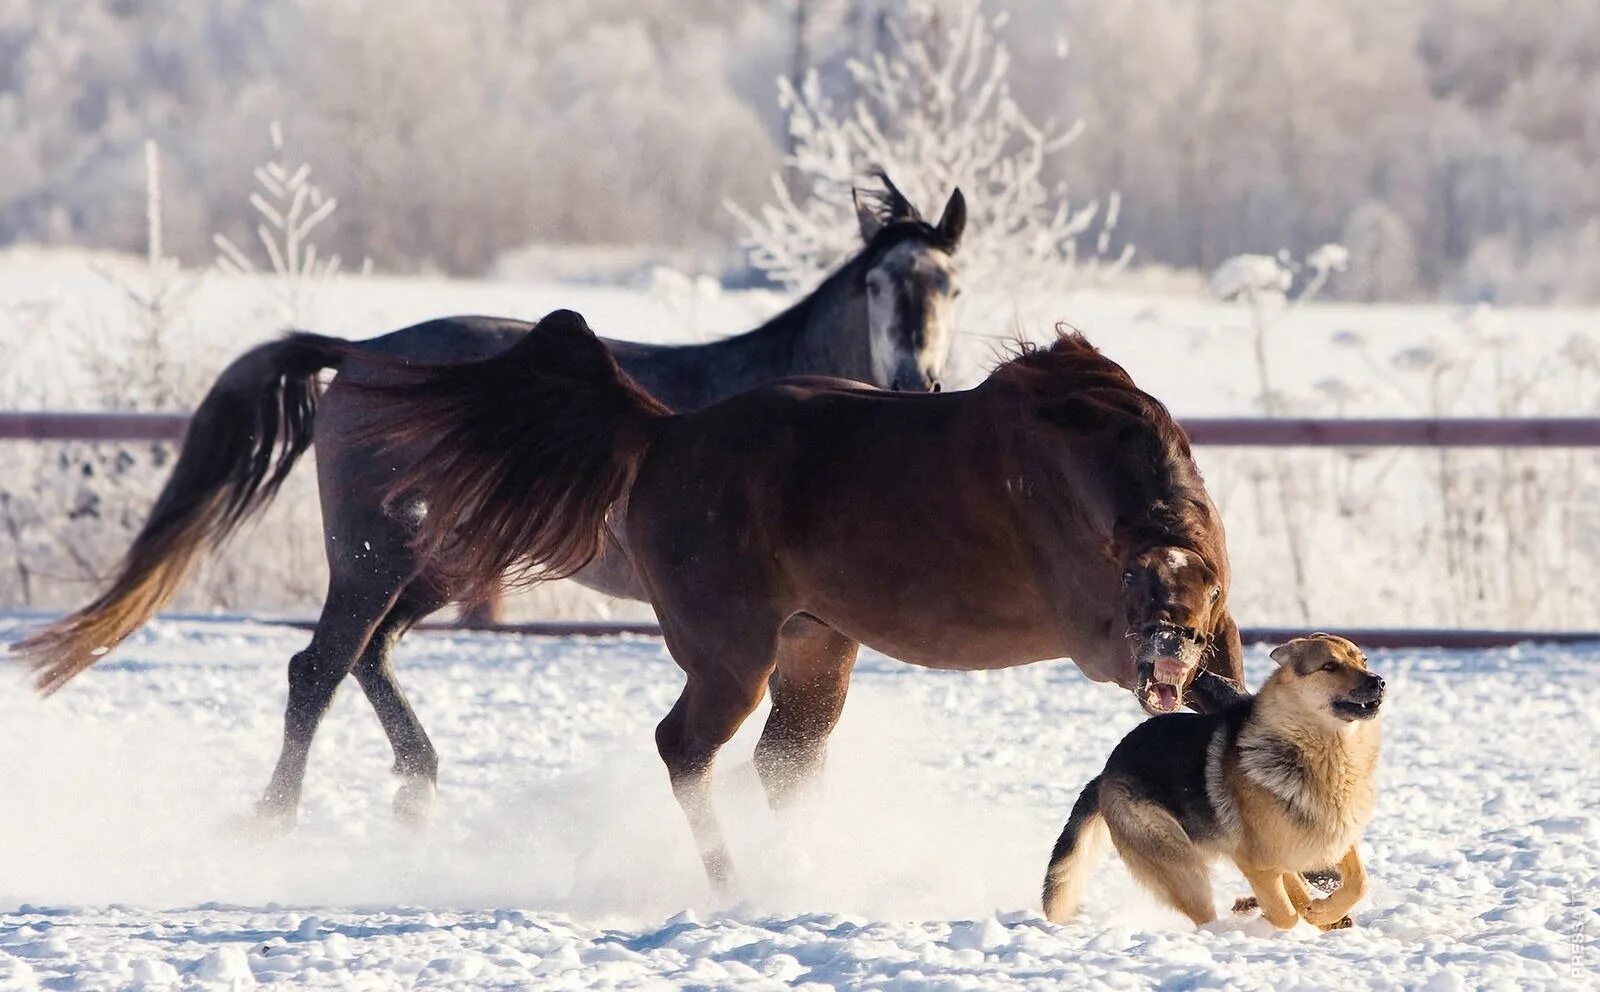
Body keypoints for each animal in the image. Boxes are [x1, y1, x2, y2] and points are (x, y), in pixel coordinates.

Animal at [15, 176, 960, 832]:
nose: (915, 378)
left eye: (949, 284)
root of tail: (361, 353)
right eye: (877, 286)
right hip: (375, 553)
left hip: (452, 559)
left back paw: (417, 789)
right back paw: (277, 820)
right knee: (318, 667)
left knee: (372, 655)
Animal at [356, 308, 1241, 883]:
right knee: (687, 750)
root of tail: (664, 434)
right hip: (731, 659)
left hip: (814, 648)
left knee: (782, 764)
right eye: (1130, 582)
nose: (1163, 663)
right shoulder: (1099, 645)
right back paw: (732, 885)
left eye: (1203, 601)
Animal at [1043, 636, 1382, 928]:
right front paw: (1290, 915)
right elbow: (1285, 913)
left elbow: (1359, 883)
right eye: (1330, 666)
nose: (1378, 681)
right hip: (1181, 864)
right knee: (1208, 916)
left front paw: (1323, 912)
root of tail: (1105, 772)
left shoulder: (1334, 836)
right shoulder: (1254, 859)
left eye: (1363, 660)